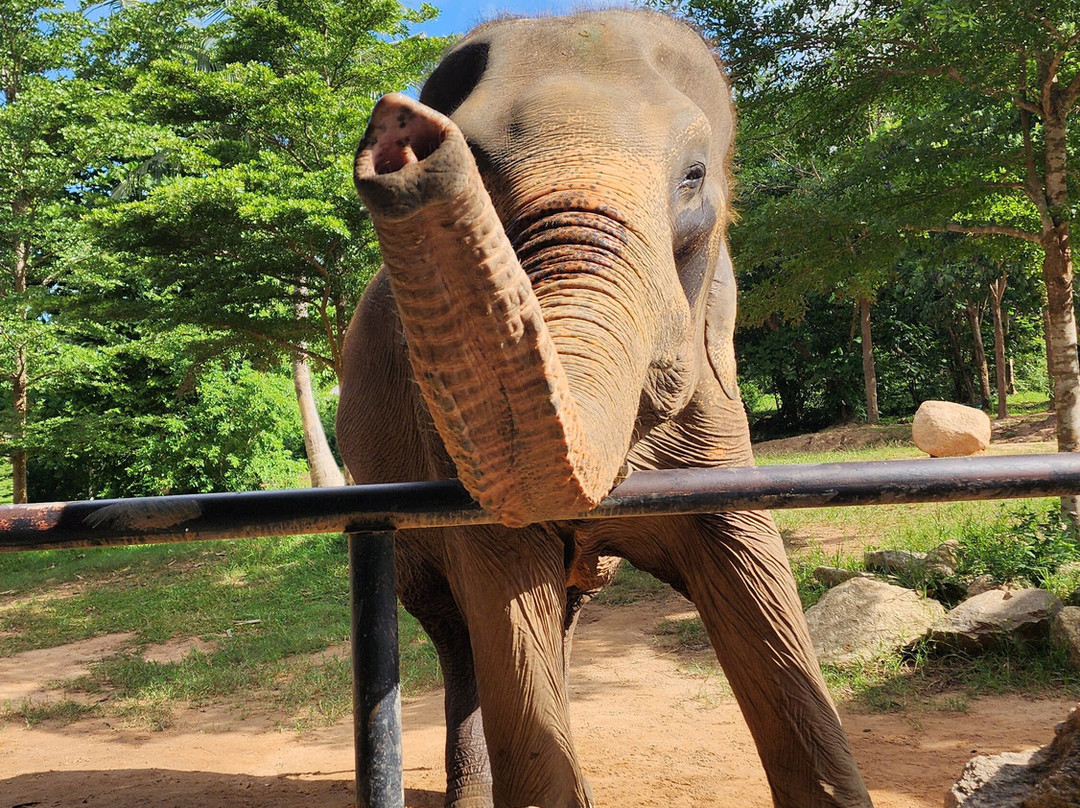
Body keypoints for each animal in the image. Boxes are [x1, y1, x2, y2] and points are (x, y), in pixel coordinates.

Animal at [336, 9, 873, 808]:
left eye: (693, 176)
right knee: (453, 624)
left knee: (559, 613)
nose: (404, 132)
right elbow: (502, 584)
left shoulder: (717, 410)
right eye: (481, 165)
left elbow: (752, 578)